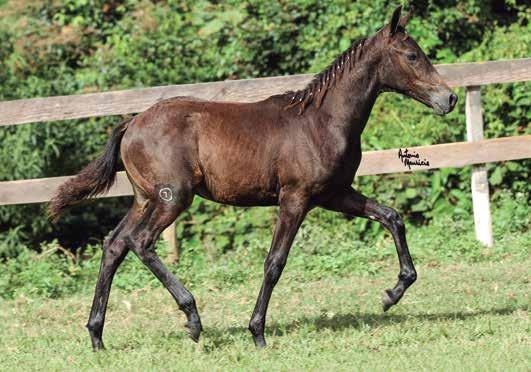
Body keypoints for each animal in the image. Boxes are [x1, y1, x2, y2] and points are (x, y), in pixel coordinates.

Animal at [48, 5, 458, 348]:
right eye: (412, 55)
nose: (449, 99)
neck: (322, 120)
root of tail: (131, 124)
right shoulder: (295, 198)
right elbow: (275, 262)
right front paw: (257, 332)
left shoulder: (335, 193)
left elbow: (392, 217)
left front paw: (392, 294)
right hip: (172, 197)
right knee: (141, 242)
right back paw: (193, 319)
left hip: (145, 198)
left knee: (114, 245)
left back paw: (97, 336)